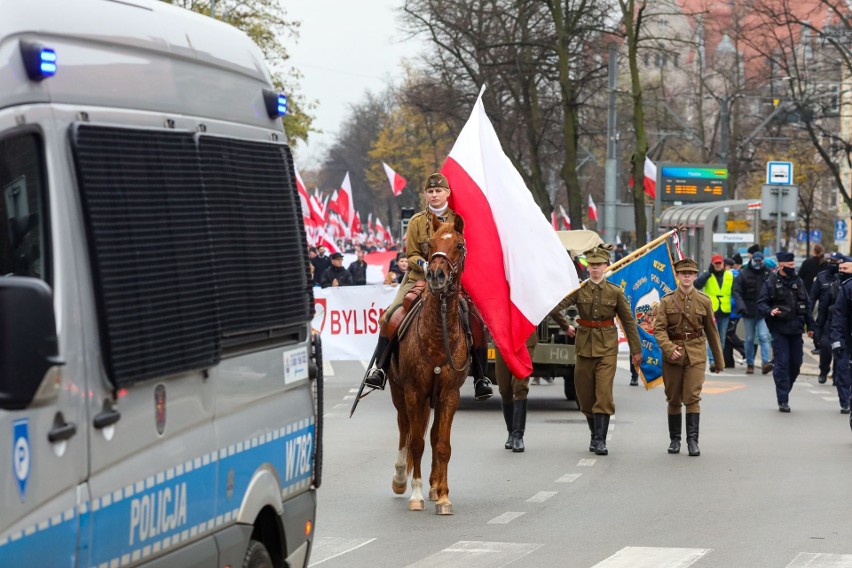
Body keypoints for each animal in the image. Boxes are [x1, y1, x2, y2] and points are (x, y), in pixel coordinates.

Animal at [390, 213, 470, 516]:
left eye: (459, 245)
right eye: (430, 245)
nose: (435, 275)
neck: (437, 335)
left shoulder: (449, 394)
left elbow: (442, 443)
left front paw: (444, 497)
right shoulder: (414, 392)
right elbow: (416, 442)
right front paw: (415, 494)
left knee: (433, 434)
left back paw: (435, 487)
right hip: (400, 393)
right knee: (405, 428)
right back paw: (401, 478)